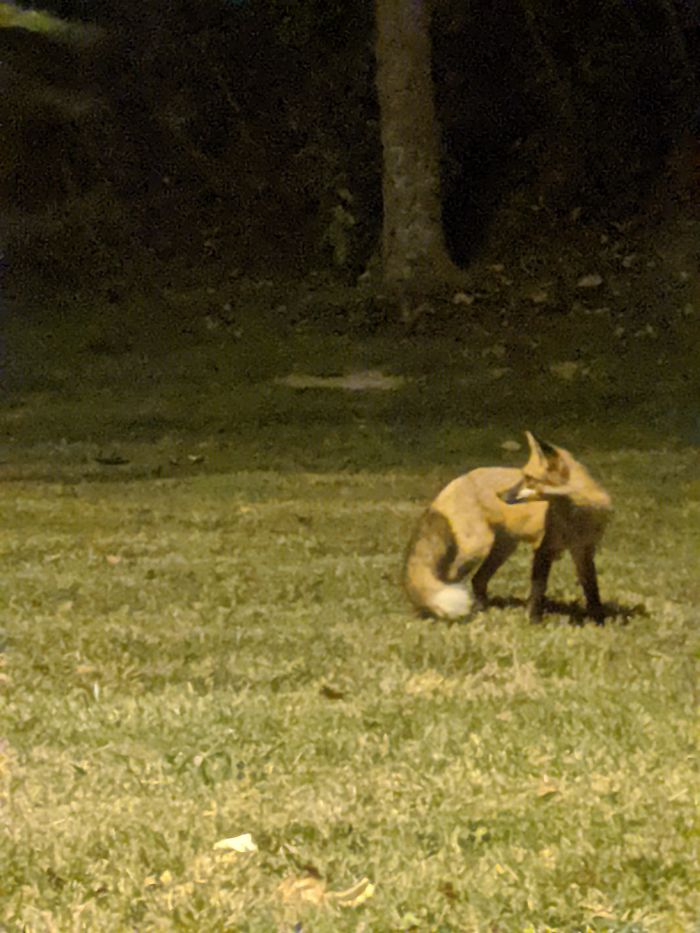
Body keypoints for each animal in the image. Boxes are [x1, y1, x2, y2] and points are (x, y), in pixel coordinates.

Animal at [404, 432, 612, 624]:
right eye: (522, 476)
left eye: (529, 478)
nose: (499, 494)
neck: (577, 517)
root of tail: (455, 482)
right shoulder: (543, 549)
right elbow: (538, 590)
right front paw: (533, 621)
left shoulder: (584, 550)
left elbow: (592, 590)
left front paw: (598, 621)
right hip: (477, 548)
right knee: (448, 578)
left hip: (503, 549)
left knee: (477, 579)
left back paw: (478, 610)